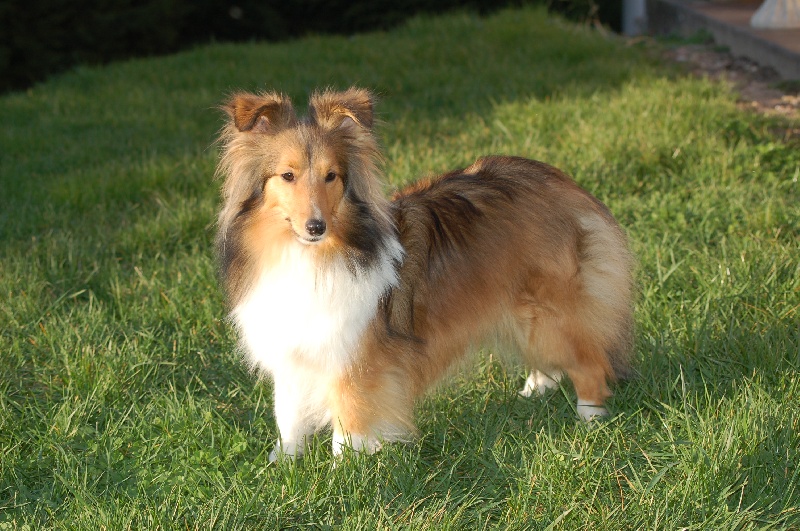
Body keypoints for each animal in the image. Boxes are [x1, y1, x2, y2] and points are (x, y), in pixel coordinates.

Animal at [216, 87, 636, 462]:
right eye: (287, 175)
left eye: (331, 176)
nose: (316, 226)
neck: (311, 254)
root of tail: (564, 183)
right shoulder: (291, 349)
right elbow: (287, 416)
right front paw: (283, 466)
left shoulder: (355, 356)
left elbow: (349, 420)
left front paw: (343, 473)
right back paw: (533, 391)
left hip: (551, 309)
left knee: (589, 362)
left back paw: (589, 420)